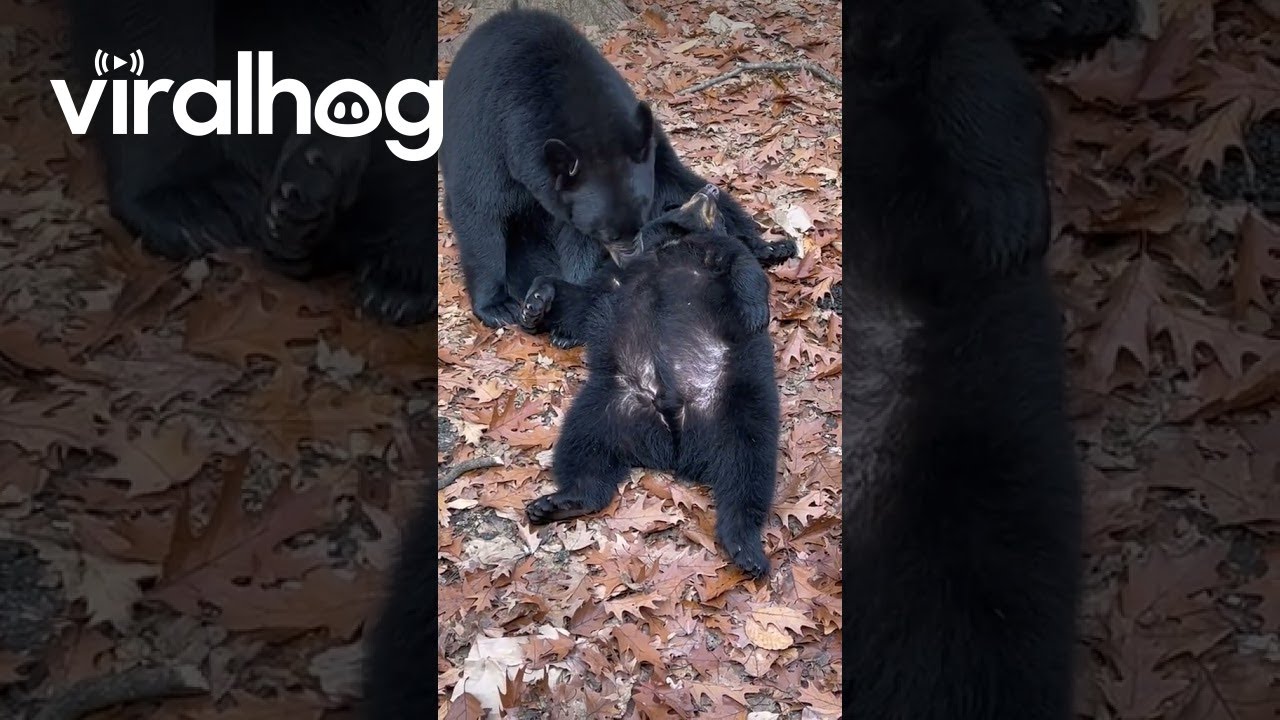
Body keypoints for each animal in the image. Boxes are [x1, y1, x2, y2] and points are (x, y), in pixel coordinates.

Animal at [440, 7, 796, 332]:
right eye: (608, 234)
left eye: (638, 223)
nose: (631, 260)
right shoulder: (489, 136)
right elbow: (480, 207)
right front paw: (496, 305)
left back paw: (769, 246)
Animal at [517, 185, 780, 577]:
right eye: (684, 200)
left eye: (718, 211)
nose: (710, 188)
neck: (671, 242)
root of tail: (674, 442)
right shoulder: (614, 279)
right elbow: (580, 302)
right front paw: (535, 303)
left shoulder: (717, 251)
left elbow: (745, 267)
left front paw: (754, 311)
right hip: (608, 402)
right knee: (581, 447)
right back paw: (561, 501)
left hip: (737, 399)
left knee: (748, 465)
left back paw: (745, 546)